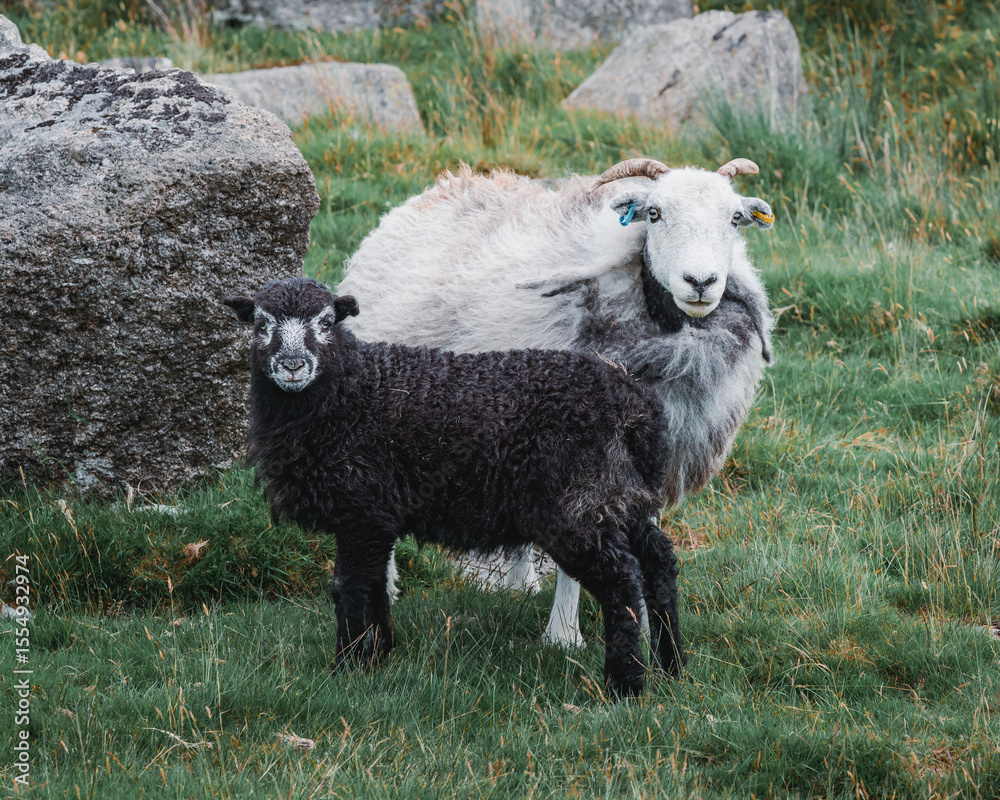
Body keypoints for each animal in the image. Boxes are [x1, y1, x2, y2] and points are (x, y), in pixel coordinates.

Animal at [223, 277, 684, 698]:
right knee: (659, 562)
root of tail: (636, 406)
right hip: (621, 495)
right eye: (261, 323)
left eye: (325, 322)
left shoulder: (362, 510)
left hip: (579, 503)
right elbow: (376, 586)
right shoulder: (379, 517)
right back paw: (672, 667)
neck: (348, 392)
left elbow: (350, 589)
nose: (293, 365)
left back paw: (626, 685)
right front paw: (379, 656)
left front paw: (346, 669)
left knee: (621, 581)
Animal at [337, 157, 775, 647]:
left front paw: (642, 618)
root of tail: (440, 187)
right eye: (654, 213)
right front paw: (564, 634)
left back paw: (519, 581)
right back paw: (388, 586)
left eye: (734, 219)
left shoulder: (659, 452)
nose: (701, 282)